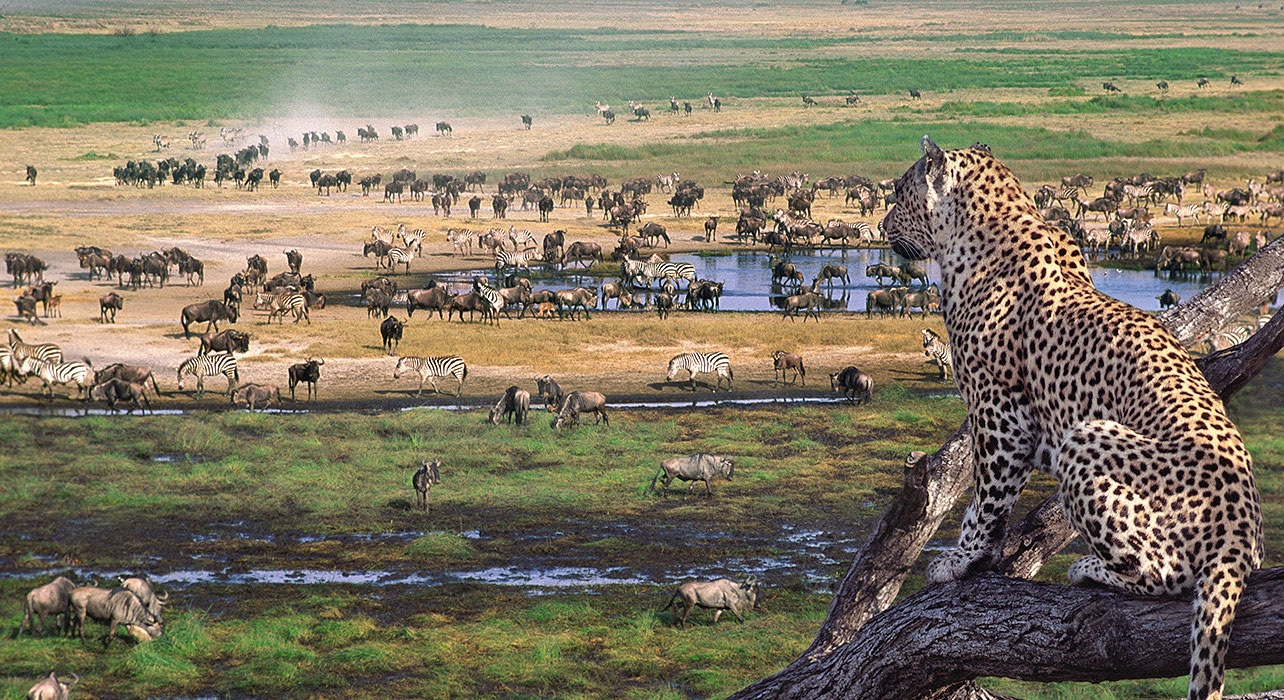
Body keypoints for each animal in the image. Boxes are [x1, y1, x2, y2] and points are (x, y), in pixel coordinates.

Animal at [883, 136, 1263, 698]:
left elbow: (986, 496)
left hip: (1085, 439)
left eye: (900, 193)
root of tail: (1241, 532)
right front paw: (981, 558)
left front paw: (964, 558)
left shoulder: (999, 412)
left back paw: (1089, 568)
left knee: (1168, 576)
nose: (884, 224)